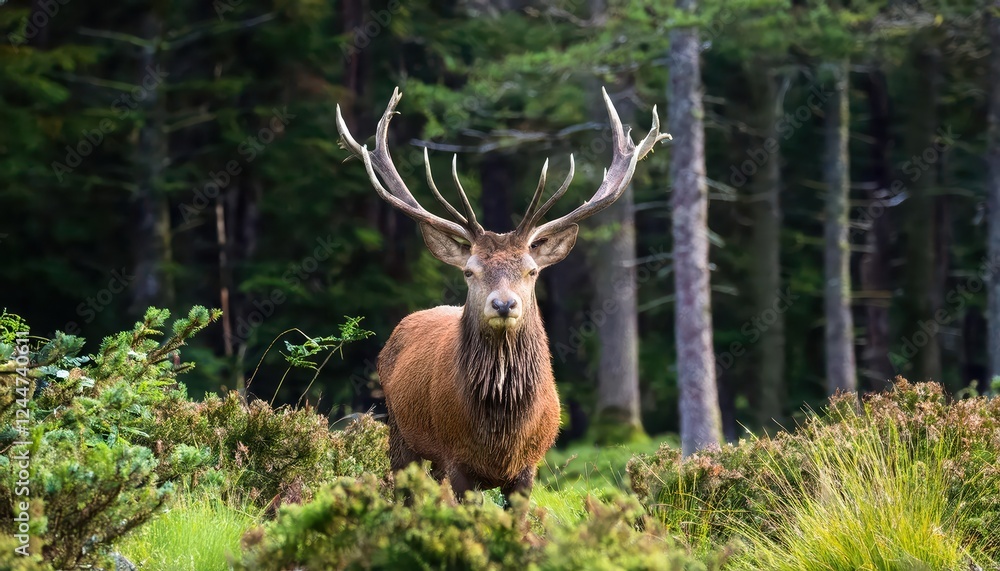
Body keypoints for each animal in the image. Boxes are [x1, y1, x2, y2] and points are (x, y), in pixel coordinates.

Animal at [335, 87, 669, 504]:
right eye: (469, 271)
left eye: (532, 270)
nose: (504, 303)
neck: (502, 433)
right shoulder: (456, 461)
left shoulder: (529, 466)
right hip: (400, 434)